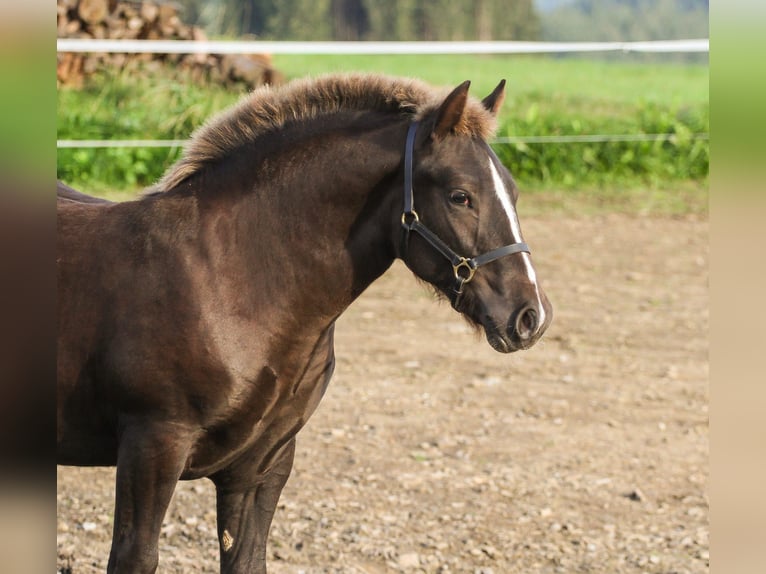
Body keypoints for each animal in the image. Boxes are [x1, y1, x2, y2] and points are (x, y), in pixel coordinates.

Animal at [57, 73, 552, 573]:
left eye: (513, 193)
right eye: (460, 196)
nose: (530, 316)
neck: (228, 282)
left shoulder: (263, 465)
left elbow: (248, 559)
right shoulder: (152, 446)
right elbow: (134, 556)